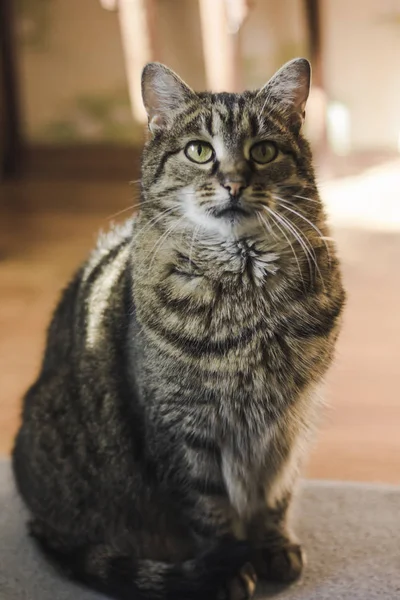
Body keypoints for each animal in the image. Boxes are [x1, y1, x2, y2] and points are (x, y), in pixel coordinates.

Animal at [12, 57, 344, 600]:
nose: (233, 182)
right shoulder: (181, 428)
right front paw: (228, 569)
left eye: (263, 150)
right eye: (199, 150)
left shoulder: (290, 421)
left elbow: (275, 492)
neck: (244, 290)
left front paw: (272, 546)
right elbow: (209, 511)